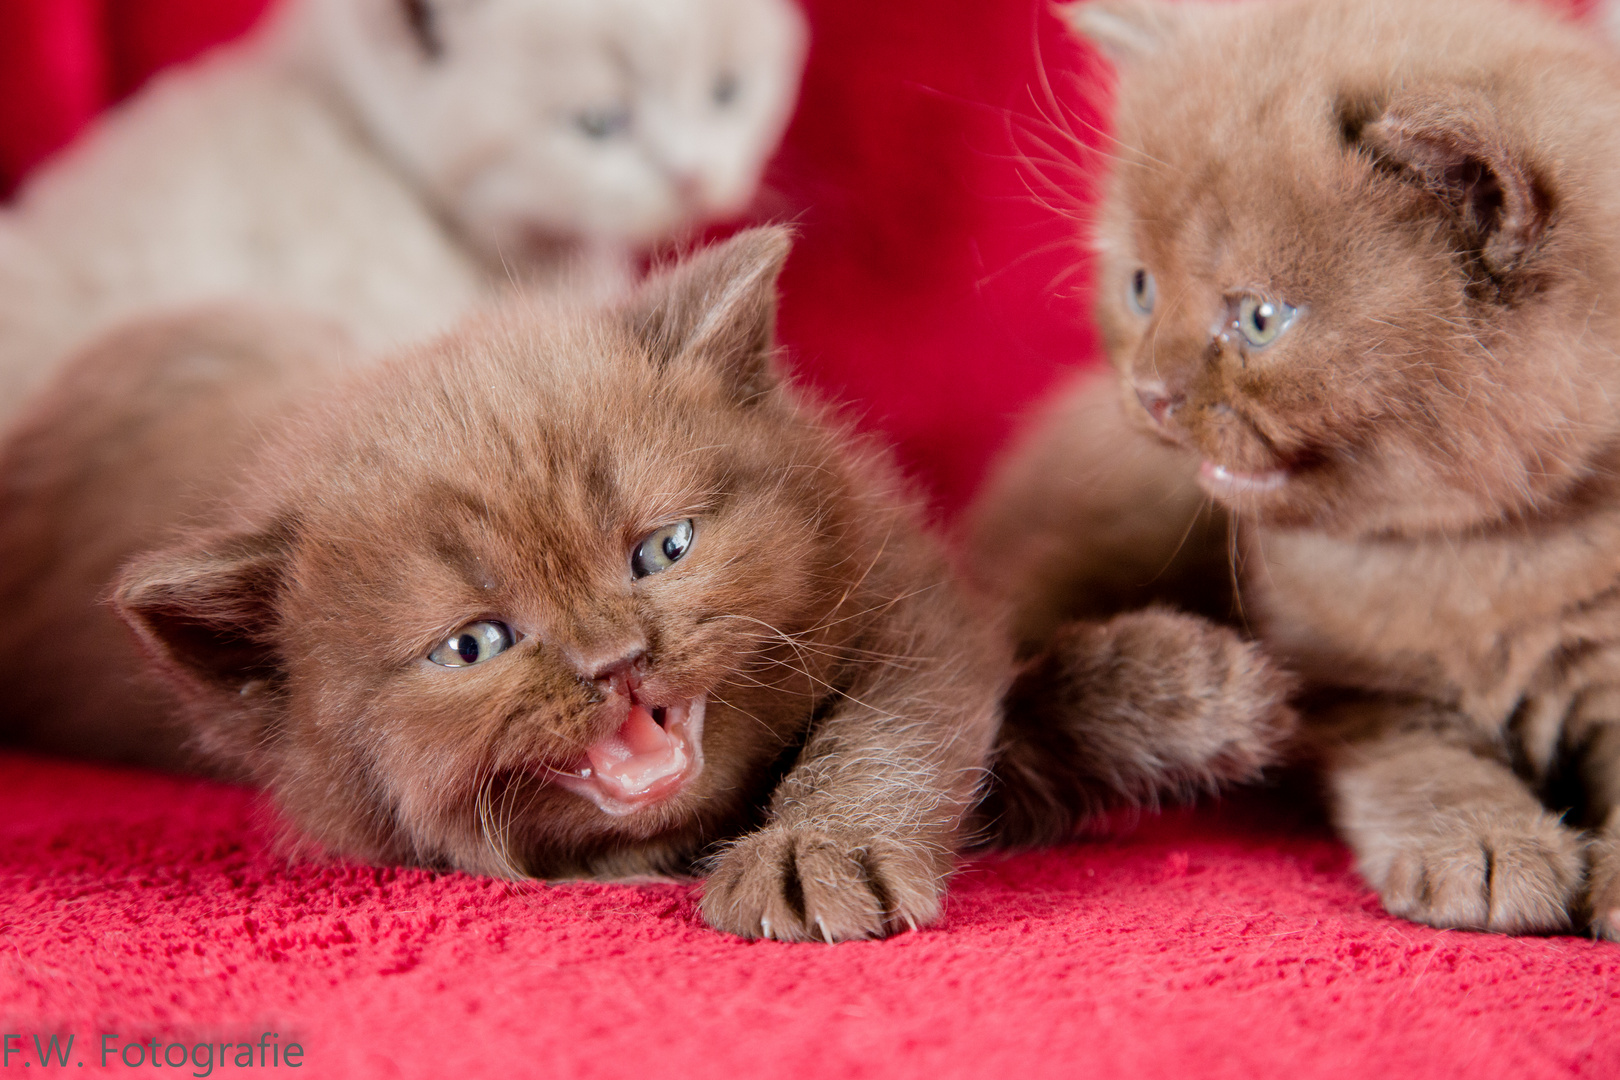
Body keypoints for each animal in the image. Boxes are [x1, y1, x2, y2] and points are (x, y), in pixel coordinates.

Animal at [972, 0, 1620, 932]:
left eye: (1260, 319)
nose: (1153, 392)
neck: (1486, 563)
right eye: (1141, 287)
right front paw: (1484, 849)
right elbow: (1427, 768)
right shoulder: (1364, 692)